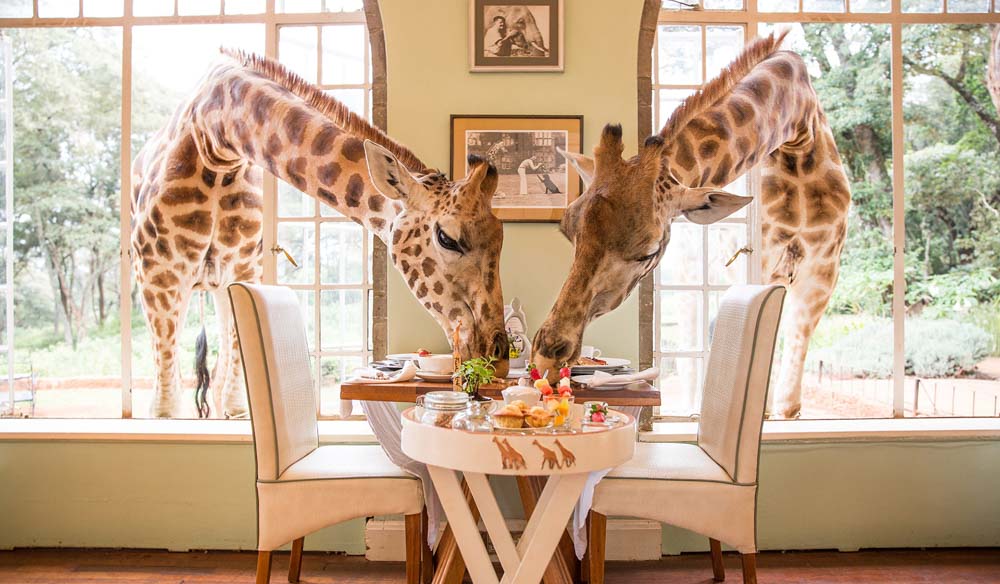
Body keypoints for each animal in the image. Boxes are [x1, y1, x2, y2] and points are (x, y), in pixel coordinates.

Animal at [132, 50, 509, 418]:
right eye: (447, 239)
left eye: (501, 239)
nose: (499, 357)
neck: (216, 138)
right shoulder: (158, 276)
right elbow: (164, 410)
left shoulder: (243, 271)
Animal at [531, 31, 850, 419]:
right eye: (568, 231)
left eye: (649, 251)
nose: (546, 357)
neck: (797, 133)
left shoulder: (820, 272)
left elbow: (788, 399)